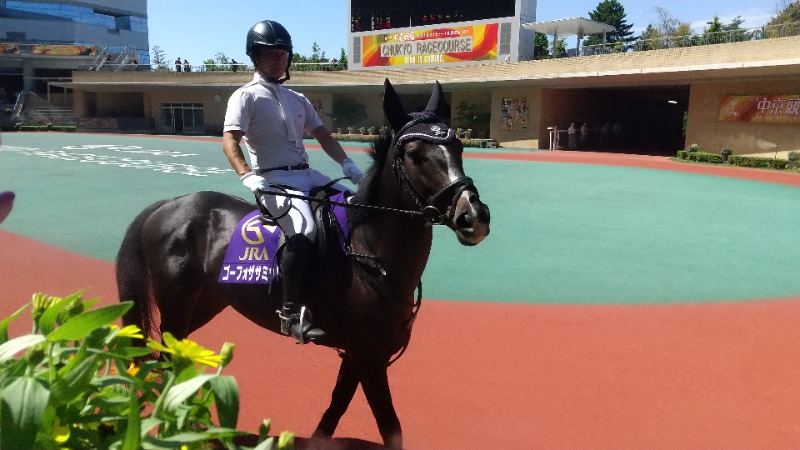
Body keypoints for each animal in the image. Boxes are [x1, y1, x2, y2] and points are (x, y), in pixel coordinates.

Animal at [115, 79, 490, 448]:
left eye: (458, 145)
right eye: (414, 155)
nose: (473, 216)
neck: (368, 252)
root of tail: (168, 204)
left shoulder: (357, 355)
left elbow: (333, 413)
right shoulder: (368, 356)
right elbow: (389, 427)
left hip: (205, 303)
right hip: (176, 306)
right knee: (165, 362)